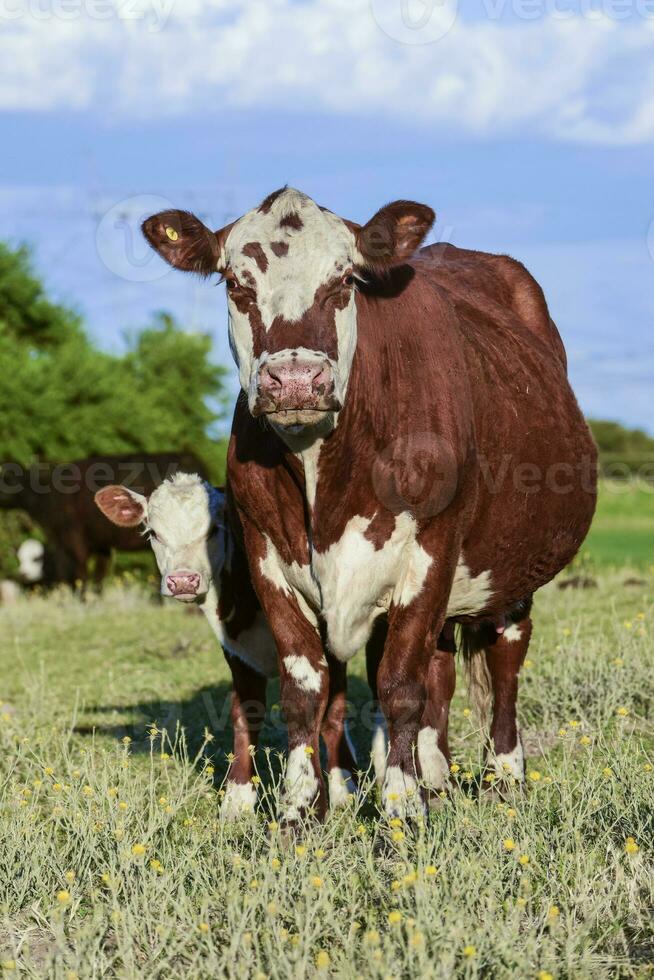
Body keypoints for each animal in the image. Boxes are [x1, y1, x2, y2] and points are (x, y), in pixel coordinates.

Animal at [94, 470, 358, 816]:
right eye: (153, 532)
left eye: (214, 530)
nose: (182, 581)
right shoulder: (236, 651)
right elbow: (245, 713)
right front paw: (237, 799)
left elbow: (332, 711)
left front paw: (344, 787)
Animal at [144, 188, 600, 824]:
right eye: (236, 283)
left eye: (344, 281)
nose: (295, 379)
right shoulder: (265, 554)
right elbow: (307, 686)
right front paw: (300, 810)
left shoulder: (431, 547)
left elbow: (401, 685)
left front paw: (402, 807)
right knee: (441, 669)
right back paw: (438, 778)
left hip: (513, 567)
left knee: (504, 657)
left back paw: (504, 775)